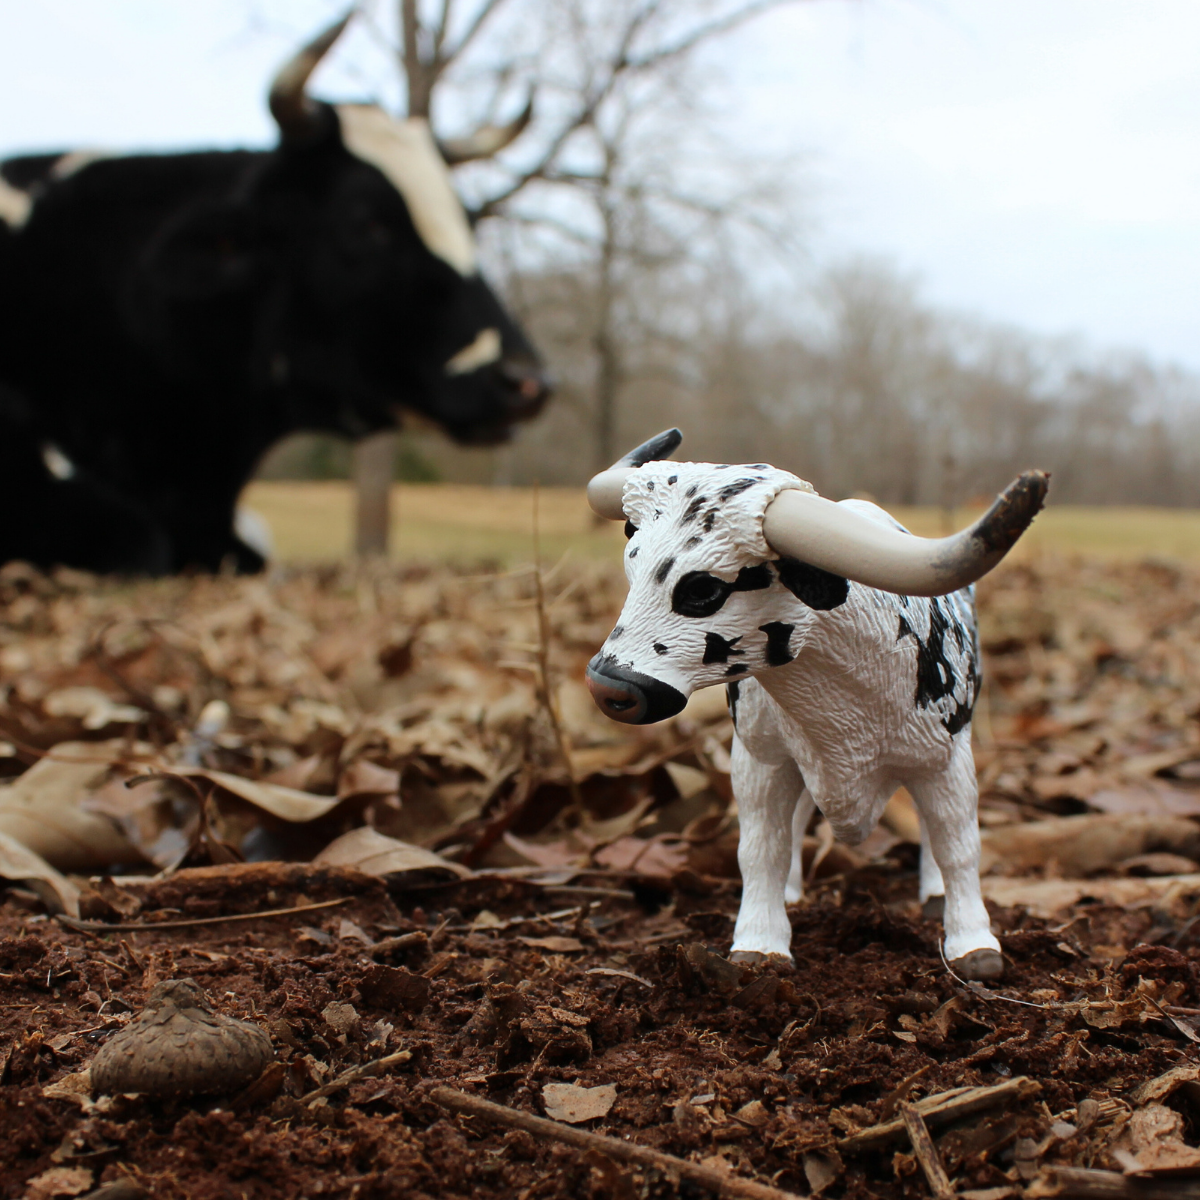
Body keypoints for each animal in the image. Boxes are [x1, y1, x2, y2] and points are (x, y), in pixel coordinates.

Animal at [585, 436, 1046, 979]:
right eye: (630, 565)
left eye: (703, 590)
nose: (607, 685)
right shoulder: (762, 761)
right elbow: (762, 849)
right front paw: (759, 943)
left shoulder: (946, 761)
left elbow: (958, 847)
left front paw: (974, 945)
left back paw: (934, 896)